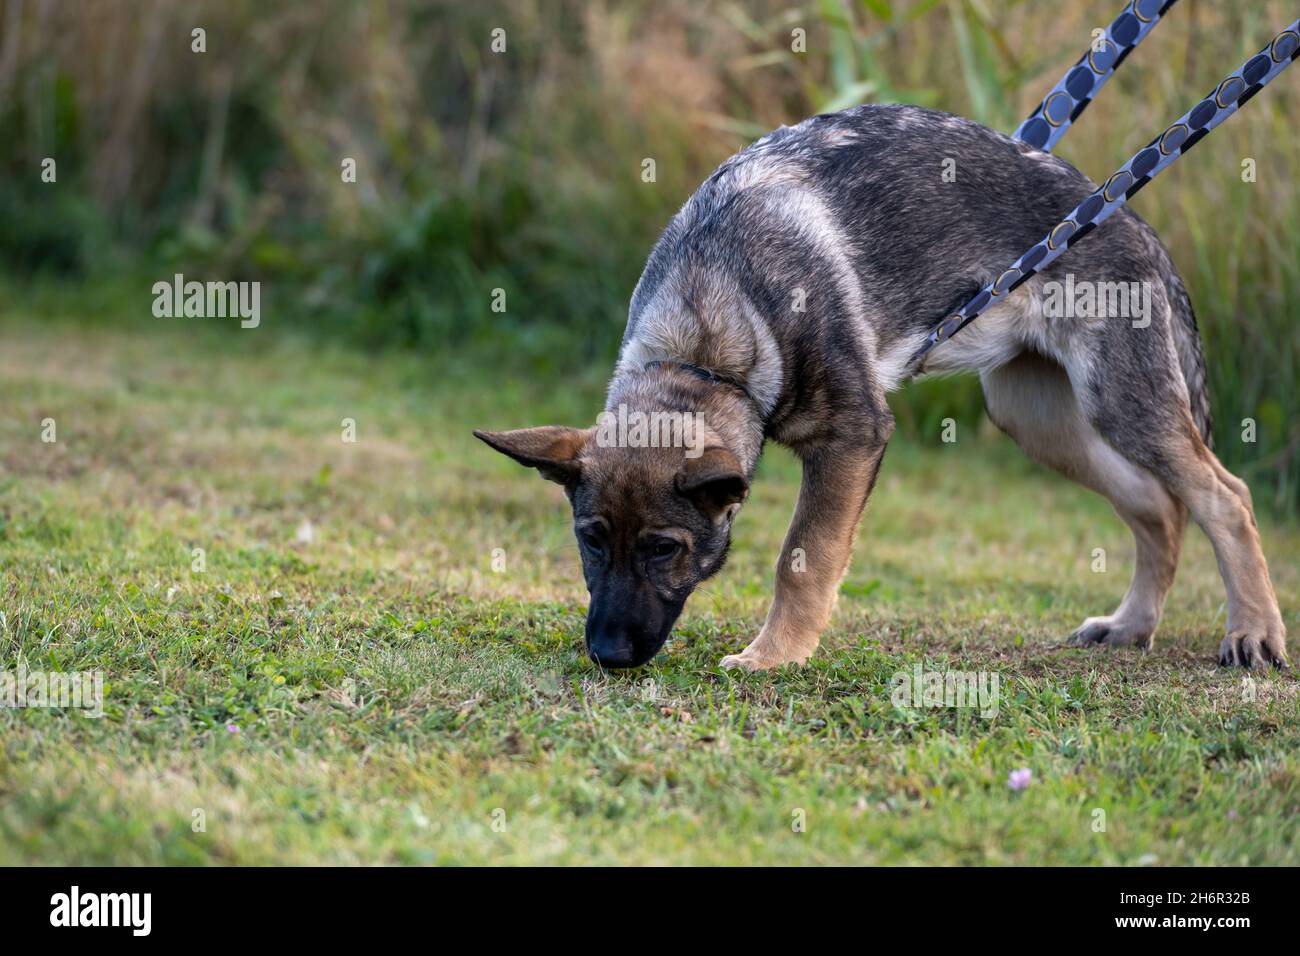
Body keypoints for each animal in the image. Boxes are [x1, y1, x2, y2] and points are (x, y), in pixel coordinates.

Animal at [475, 102, 1289, 671]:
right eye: (590, 541)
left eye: (663, 548)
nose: (608, 656)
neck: (704, 341)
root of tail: (1134, 222)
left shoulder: (854, 437)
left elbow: (802, 557)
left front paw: (773, 658)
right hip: (1038, 417)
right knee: (1158, 507)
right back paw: (1132, 626)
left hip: (1121, 404)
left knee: (1224, 496)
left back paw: (1252, 631)